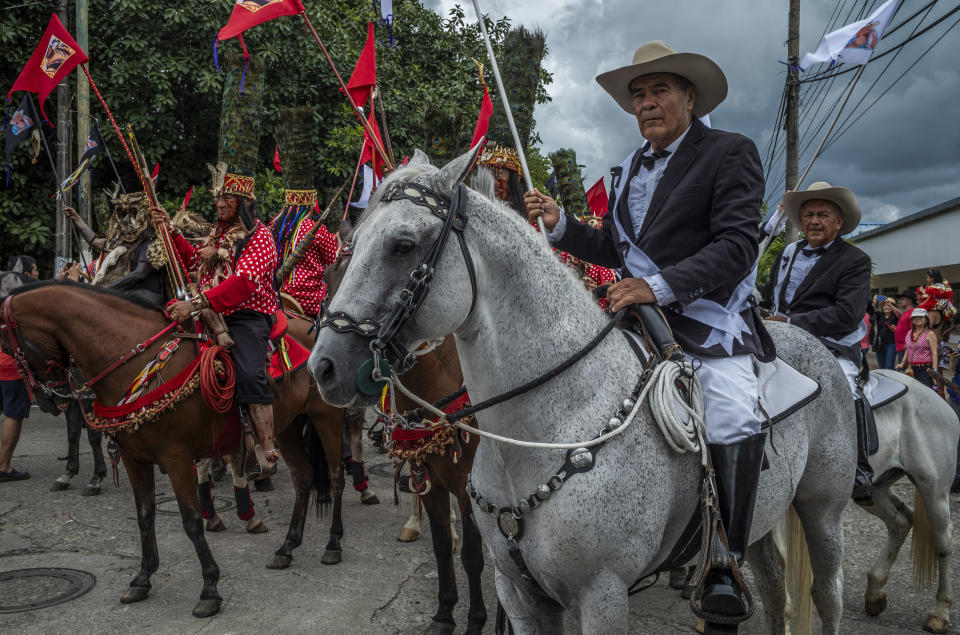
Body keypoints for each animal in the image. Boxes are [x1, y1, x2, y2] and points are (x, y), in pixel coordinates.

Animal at [0, 282, 344, 616]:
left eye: (6, 346)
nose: (48, 399)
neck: (140, 363)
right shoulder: (134, 459)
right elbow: (145, 515)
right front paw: (142, 577)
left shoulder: (177, 458)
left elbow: (191, 522)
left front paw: (210, 588)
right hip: (287, 427)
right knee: (303, 478)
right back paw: (287, 547)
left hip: (327, 418)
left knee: (336, 478)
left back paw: (333, 544)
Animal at [326, 236, 488, 632]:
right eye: (327, 277)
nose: (329, 366)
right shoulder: (428, 473)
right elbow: (442, 545)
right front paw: (444, 613)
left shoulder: (468, 487)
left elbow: (473, 553)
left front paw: (476, 620)